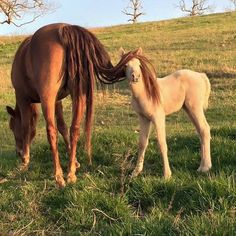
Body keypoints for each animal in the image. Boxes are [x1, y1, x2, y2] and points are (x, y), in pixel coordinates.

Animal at [6, 23, 131, 186]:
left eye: (12, 127)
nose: (18, 152)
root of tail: (65, 28)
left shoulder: (23, 98)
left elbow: (27, 127)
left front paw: (25, 160)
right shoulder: (57, 100)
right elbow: (63, 127)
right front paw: (75, 160)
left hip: (48, 97)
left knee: (51, 131)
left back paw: (59, 176)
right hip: (77, 94)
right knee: (74, 128)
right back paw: (71, 173)